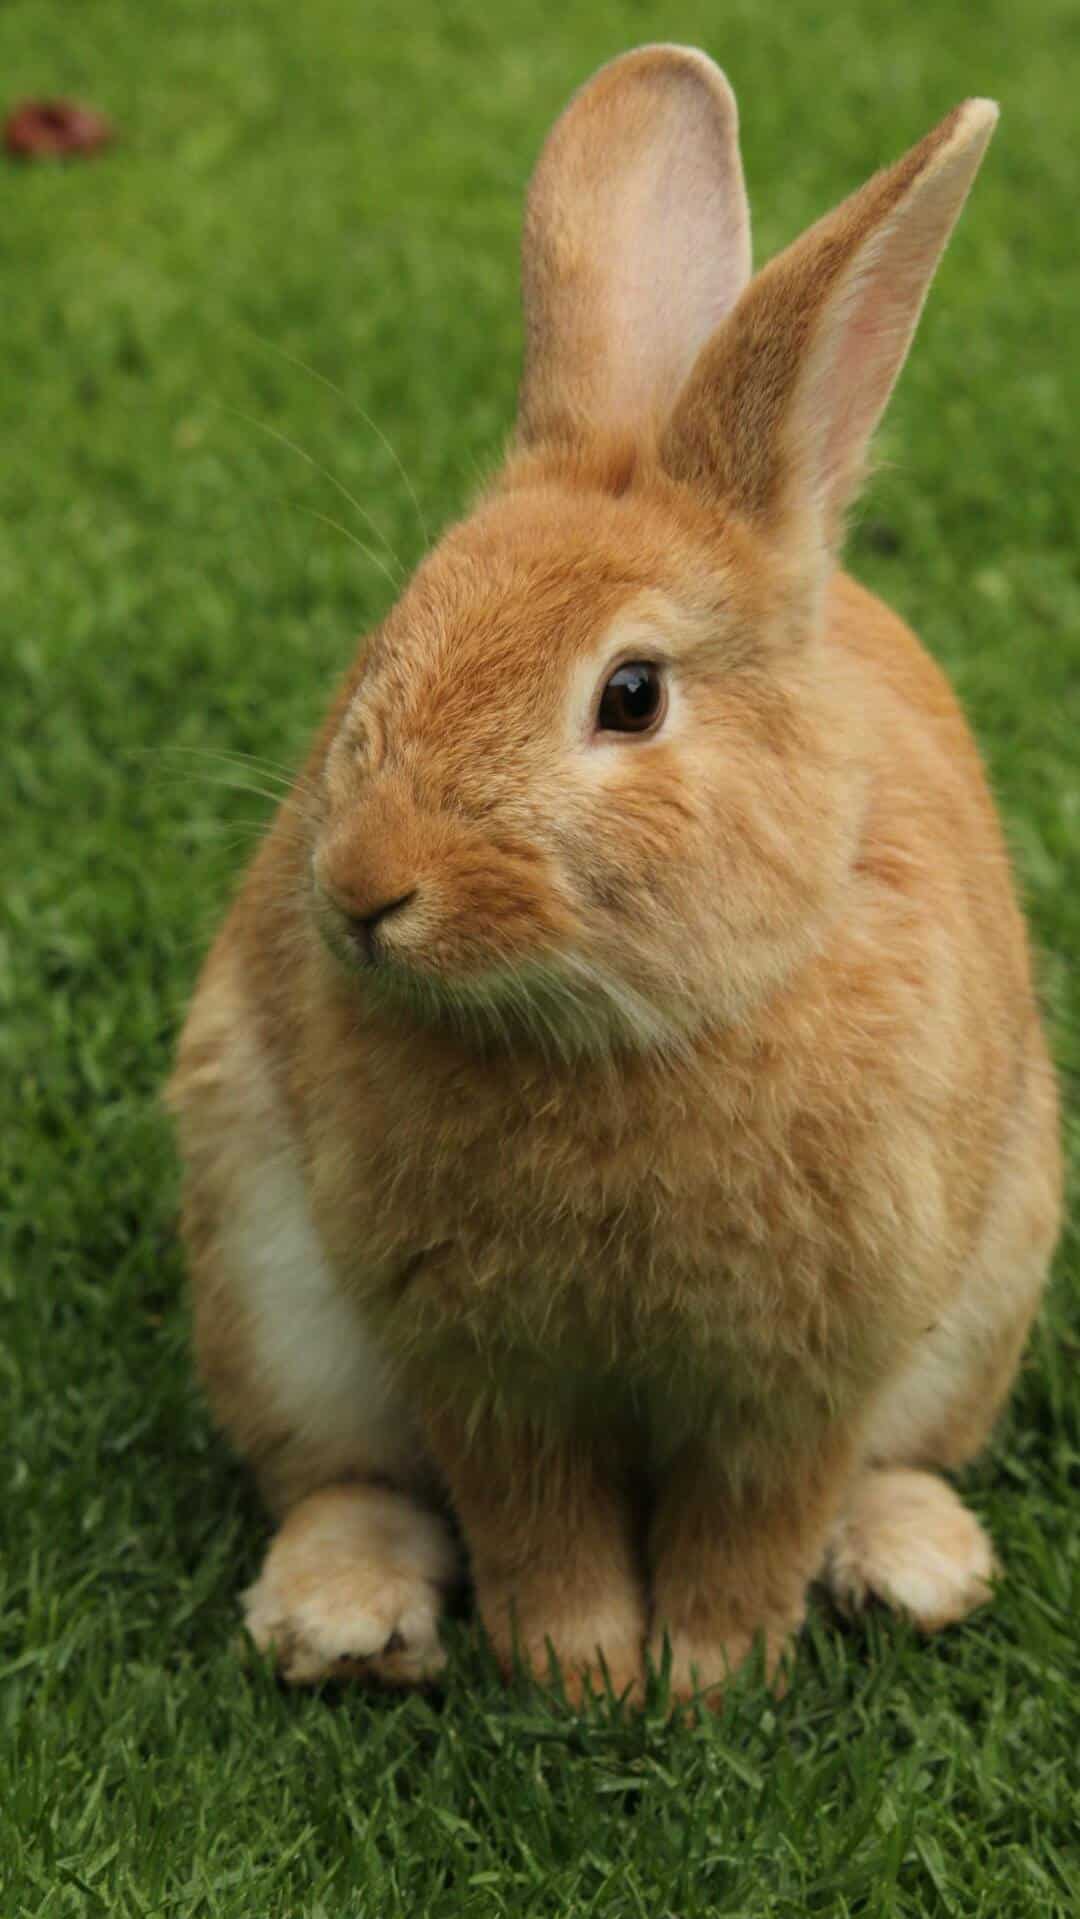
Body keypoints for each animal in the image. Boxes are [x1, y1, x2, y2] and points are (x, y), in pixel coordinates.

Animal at [168, 46, 1062, 1708]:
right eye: (387, 642)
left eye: (631, 695)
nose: (367, 889)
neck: (624, 1032)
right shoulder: (481, 1365)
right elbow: (534, 1514)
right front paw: (579, 1667)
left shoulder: (806, 1370)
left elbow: (756, 1515)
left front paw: (707, 1675)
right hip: (266, 1288)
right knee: (344, 1477)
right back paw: (344, 1622)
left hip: (989, 1292)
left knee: (896, 1460)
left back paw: (914, 1567)